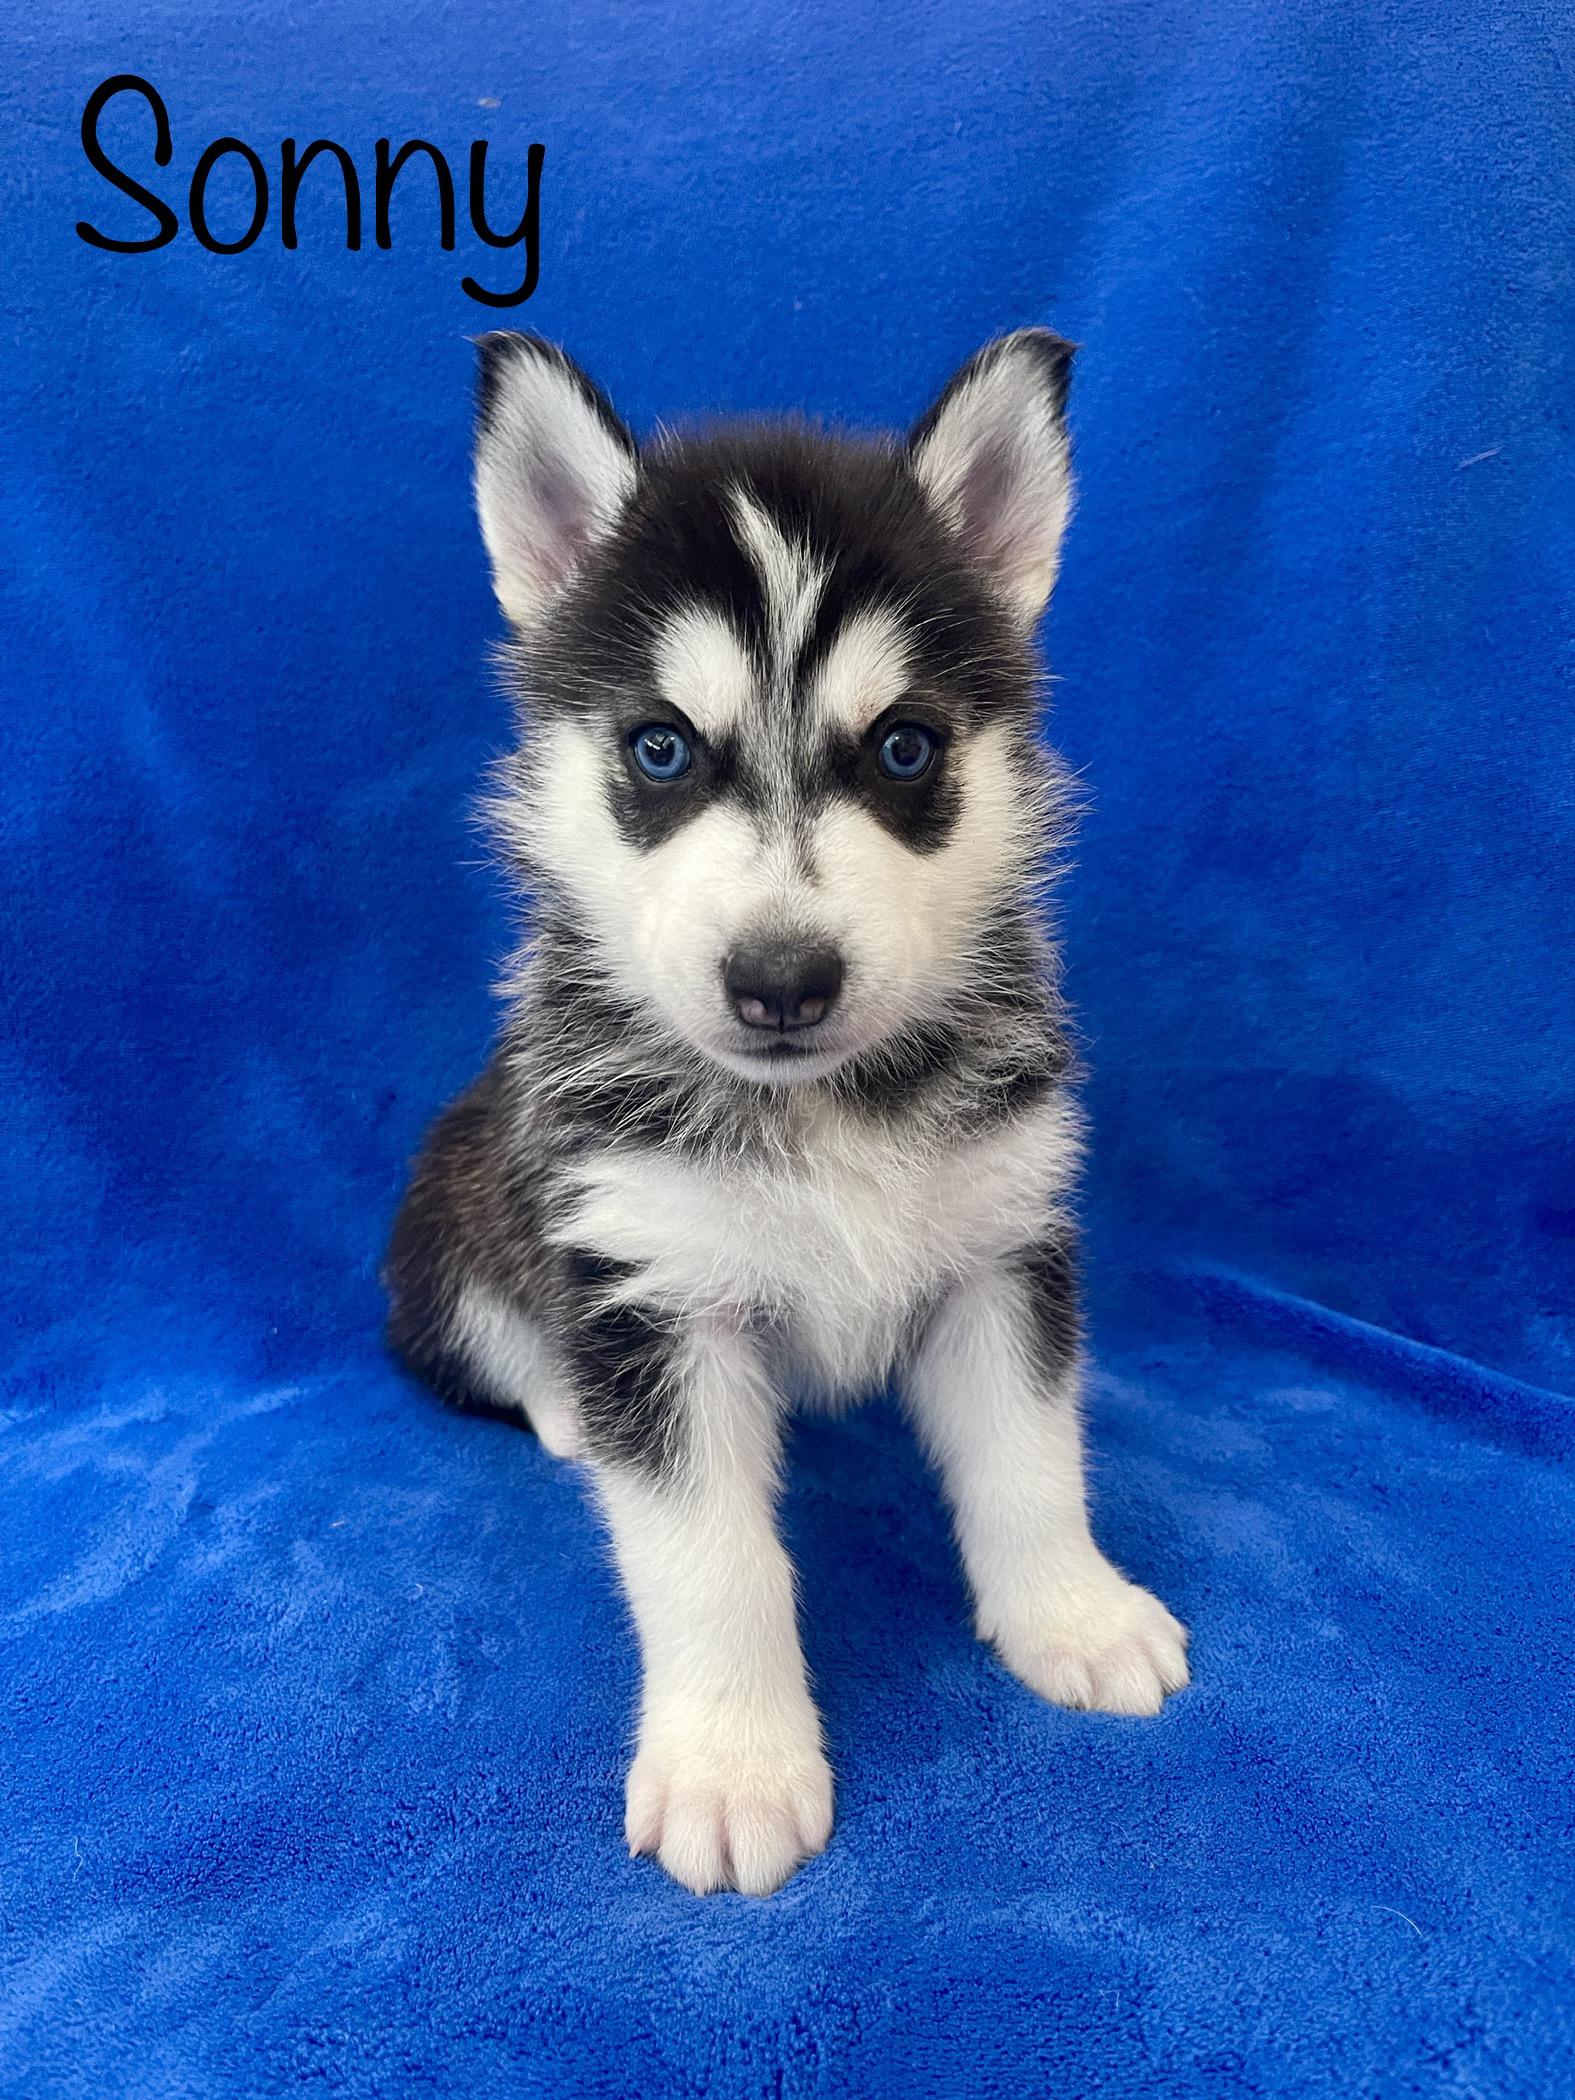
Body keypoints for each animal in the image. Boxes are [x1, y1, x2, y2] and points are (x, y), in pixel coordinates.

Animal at [385, 329, 1189, 1896]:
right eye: (657, 751)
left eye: (903, 751)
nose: (780, 981)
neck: (822, 1108)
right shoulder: (648, 1296)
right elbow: (710, 1561)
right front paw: (731, 1766)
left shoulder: (1004, 1249)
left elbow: (1029, 1461)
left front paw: (1071, 1614)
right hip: (456, 1222)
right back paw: (560, 1413)